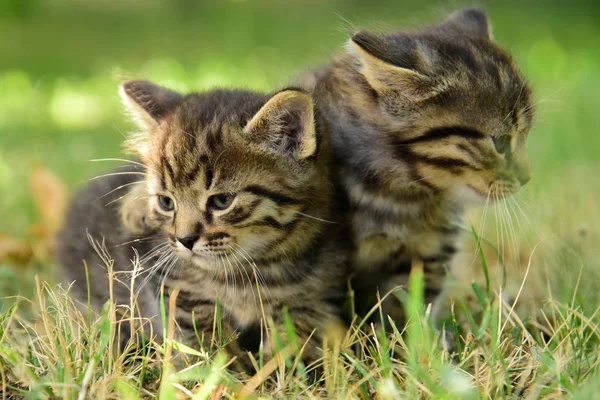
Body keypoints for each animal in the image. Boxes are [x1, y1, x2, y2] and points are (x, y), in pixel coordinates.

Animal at [56, 81, 350, 362]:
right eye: (166, 202)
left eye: (221, 201)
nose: (184, 240)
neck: (246, 275)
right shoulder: (165, 282)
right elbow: (198, 328)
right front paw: (228, 367)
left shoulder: (313, 295)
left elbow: (299, 331)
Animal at [302, 8, 532, 328]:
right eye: (499, 142)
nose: (527, 178)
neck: (404, 194)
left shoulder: (429, 254)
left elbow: (409, 307)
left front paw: (410, 340)